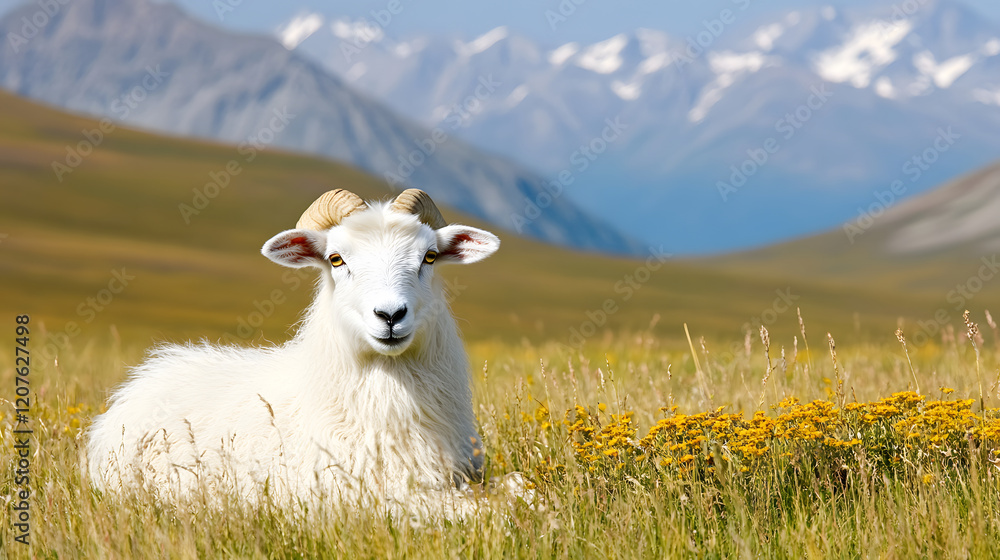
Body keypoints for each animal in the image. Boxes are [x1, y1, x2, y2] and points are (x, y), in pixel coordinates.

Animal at [86, 188, 502, 516]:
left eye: (429, 257)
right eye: (336, 259)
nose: (390, 315)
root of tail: (136, 386)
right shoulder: (352, 493)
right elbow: (469, 506)